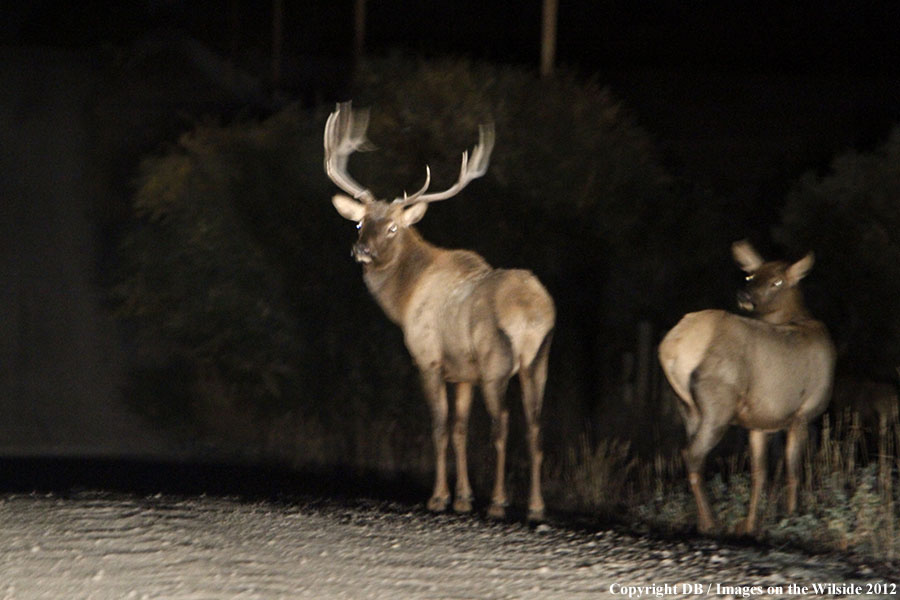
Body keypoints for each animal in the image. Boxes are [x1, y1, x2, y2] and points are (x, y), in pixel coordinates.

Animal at [324, 102, 556, 520]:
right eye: (361, 221)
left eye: (394, 228)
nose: (361, 250)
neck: (403, 301)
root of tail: (533, 315)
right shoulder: (463, 372)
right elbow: (460, 429)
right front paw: (462, 498)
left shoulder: (428, 358)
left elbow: (439, 427)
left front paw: (438, 497)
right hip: (539, 360)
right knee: (534, 425)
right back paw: (535, 506)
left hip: (497, 362)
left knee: (503, 423)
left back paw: (499, 502)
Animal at [652, 241, 836, 532]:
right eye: (750, 276)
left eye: (777, 281)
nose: (744, 293)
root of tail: (672, 346)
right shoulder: (804, 412)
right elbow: (793, 471)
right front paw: (792, 516)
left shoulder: (759, 422)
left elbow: (759, 473)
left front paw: (751, 525)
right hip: (718, 401)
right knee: (692, 454)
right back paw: (710, 523)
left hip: (686, 405)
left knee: (693, 455)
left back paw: (706, 521)